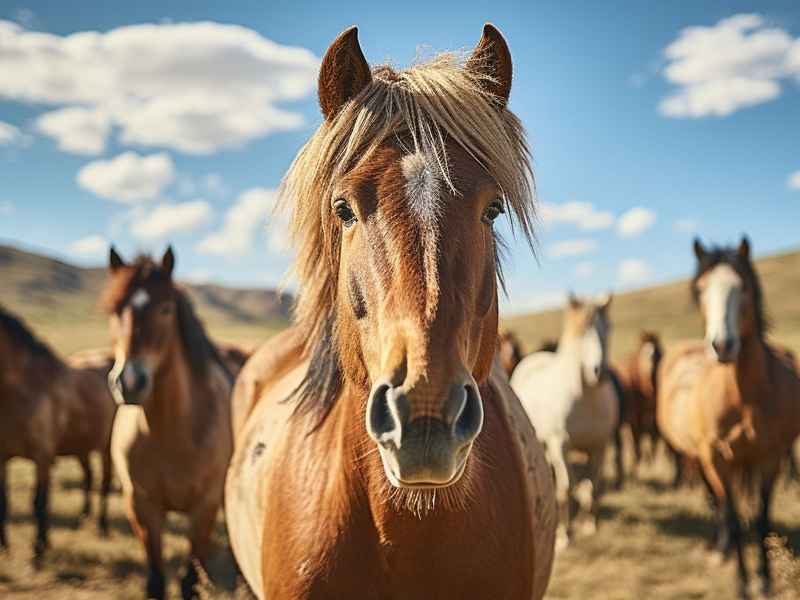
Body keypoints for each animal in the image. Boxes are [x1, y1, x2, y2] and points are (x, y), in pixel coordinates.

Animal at [0, 306, 116, 558]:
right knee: (88, 476)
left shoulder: (42, 457)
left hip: (107, 446)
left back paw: (102, 527)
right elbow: (4, 501)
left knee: (104, 482)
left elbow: (39, 502)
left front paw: (39, 548)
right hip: (82, 447)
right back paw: (82, 517)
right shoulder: (2, 457)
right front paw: (4, 546)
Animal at [103, 247, 234, 600]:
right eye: (114, 311)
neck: (172, 434)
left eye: (166, 309)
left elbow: (190, 581)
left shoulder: (204, 508)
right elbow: (156, 581)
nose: (129, 382)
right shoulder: (141, 506)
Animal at [511, 293, 617, 550]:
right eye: (583, 332)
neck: (586, 397)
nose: (599, 371)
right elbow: (565, 488)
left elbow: (594, 485)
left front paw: (589, 525)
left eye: (608, 328)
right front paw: (564, 535)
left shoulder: (599, 446)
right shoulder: (561, 446)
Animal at [610, 331, 663, 487]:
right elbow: (637, 449)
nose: (651, 371)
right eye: (644, 353)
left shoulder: (654, 423)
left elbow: (652, 447)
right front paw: (636, 476)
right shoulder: (635, 421)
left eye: (658, 353)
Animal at [657, 237, 800, 599]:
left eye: (743, 287)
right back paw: (719, 547)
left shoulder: (768, 459)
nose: (722, 345)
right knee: (715, 501)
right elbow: (733, 519)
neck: (743, 397)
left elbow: (762, 519)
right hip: (701, 459)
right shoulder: (719, 459)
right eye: (701, 289)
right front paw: (742, 583)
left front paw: (764, 579)